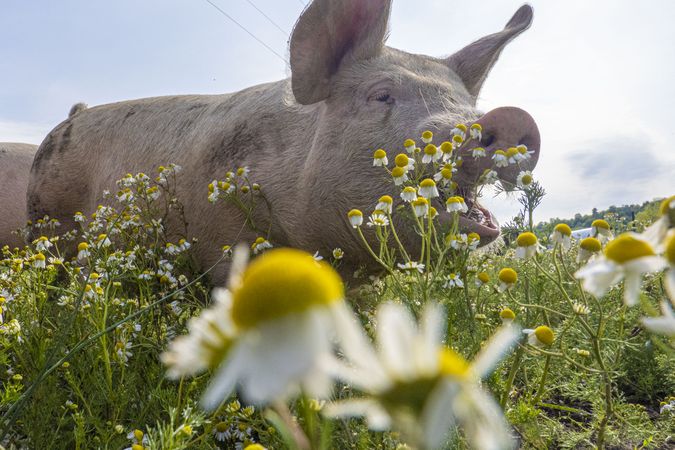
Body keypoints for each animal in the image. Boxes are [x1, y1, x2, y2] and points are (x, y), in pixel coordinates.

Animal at [29, 0, 540, 284]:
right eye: (381, 95)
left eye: (465, 100)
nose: (513, 116)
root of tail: (71, 116)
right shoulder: (224, 236)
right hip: (45, 218)